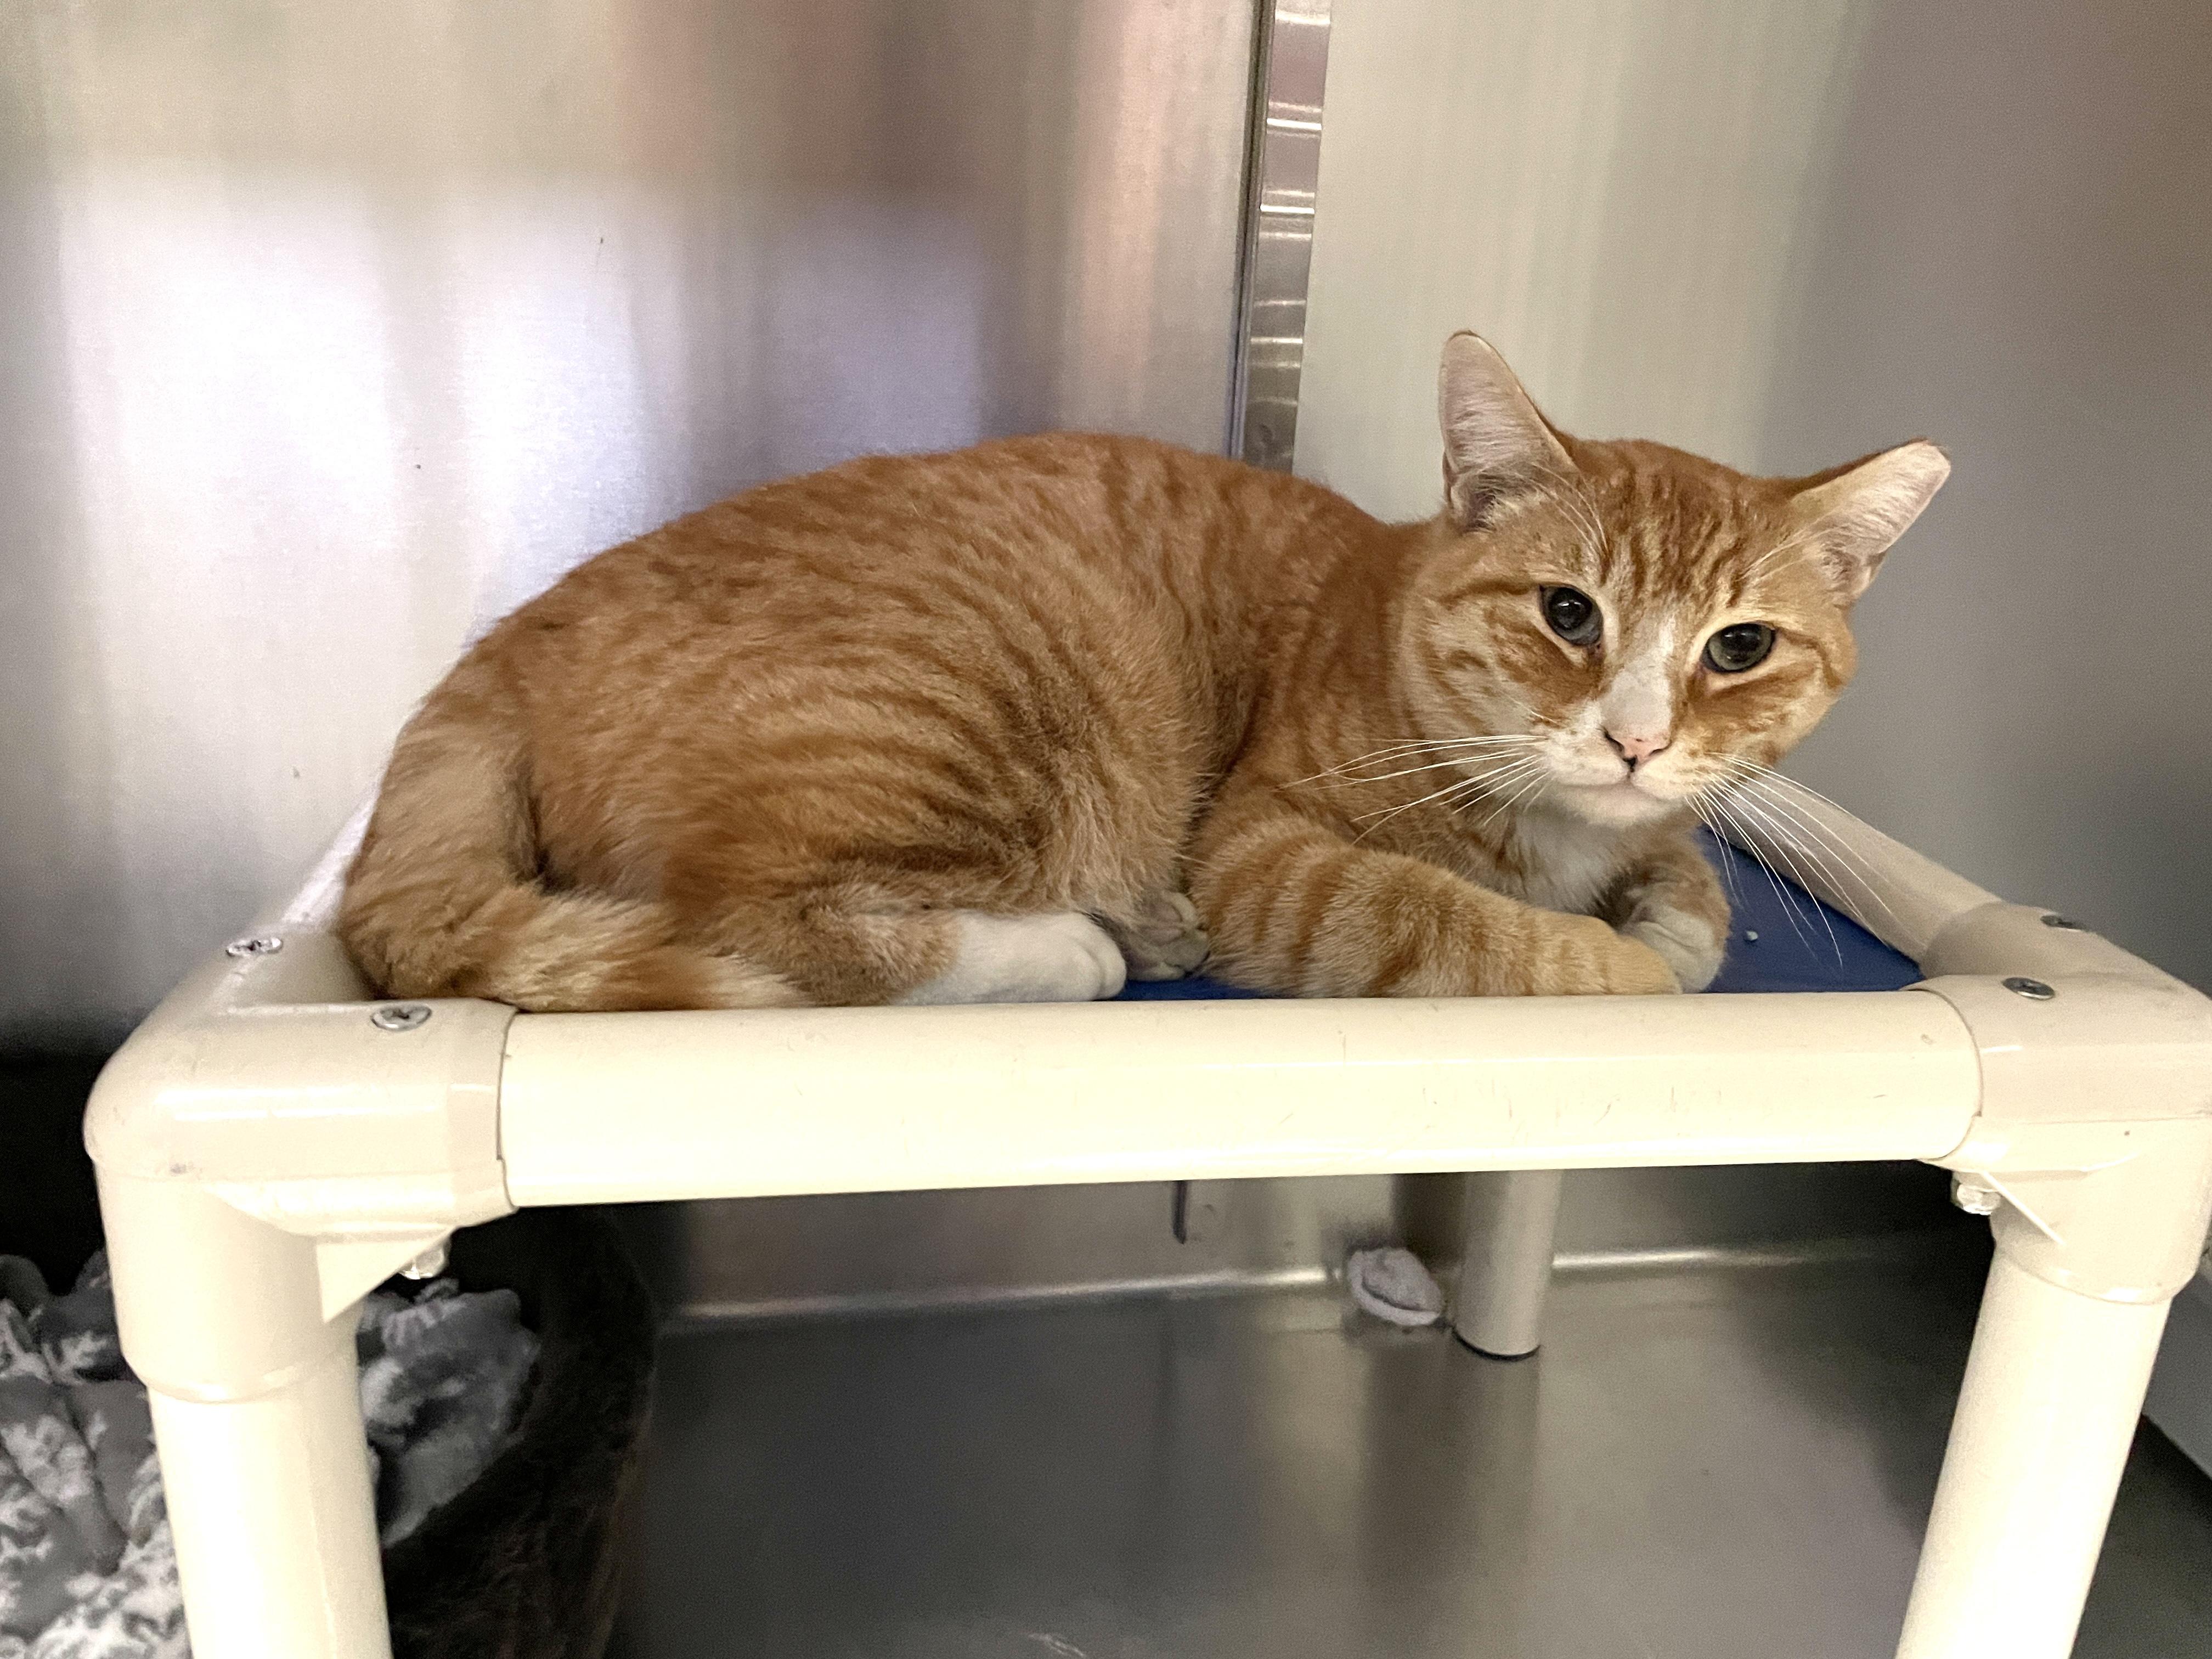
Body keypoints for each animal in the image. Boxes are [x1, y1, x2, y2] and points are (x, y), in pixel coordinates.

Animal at [337, 332, 1946, 1012]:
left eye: (1739, 647)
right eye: (1568, 613)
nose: (1633, 738)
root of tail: (511, 634)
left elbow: (1695, 881)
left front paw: (1666, 907)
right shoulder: (1275, 855)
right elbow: (1483, 930)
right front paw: (1622, 959)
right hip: (963, 708)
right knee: (755, 925)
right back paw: (1066, 946)